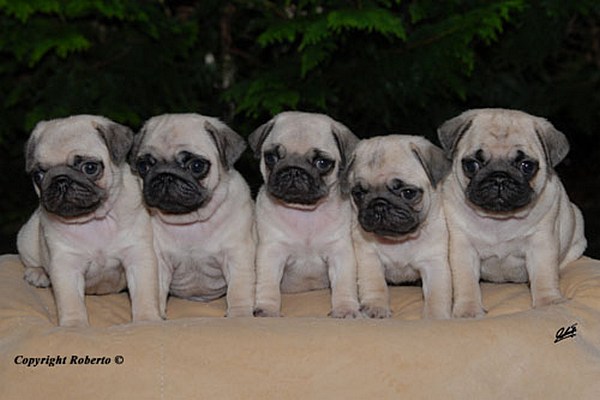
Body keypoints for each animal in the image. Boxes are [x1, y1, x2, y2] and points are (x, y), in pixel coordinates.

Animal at [16, 114, 162, 326]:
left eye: (90, 168)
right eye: (39, 175)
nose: (60, 180)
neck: (94, 220)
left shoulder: (138, 257)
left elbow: (144, 294)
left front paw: (147, 319)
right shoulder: (66, 266)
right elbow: (70, 301)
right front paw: (74, 325)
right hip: (27, 238)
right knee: (31, 260)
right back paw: (38, 273)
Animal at [130, 114, 254, 318]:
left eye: (196, 166)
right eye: (144, 166)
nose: (165, 176)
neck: (190, 220)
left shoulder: (237, 256)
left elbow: (239, 290)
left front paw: (239, 314)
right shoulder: (160, 263)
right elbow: (157, 292)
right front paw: (158, 315)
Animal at [250, 111, 360, 318]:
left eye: (322, 163)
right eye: (271, 157)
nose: (294, 170)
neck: (305, 214)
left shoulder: (339, 253)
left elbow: (343, 284)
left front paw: (345, 309)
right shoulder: (272, 252)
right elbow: (268, 284)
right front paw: (268, 309)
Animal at [350, 134, 452, 318]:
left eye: (408, 193)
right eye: (358, 194)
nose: (379, 204)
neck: (398, 241)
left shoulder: (434, 263)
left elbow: (437, 295)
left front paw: (435, 316)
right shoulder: (369, 258)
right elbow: (375, 285)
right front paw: (376, 307)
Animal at [436, 108, 584, 318]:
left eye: (526, 166)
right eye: (472, 165)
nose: (499, 177)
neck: (499, 220)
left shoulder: (541, 244)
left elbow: (545, 275)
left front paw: (548, 302)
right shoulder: (463, 248)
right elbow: (466, 282)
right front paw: (468, 310)